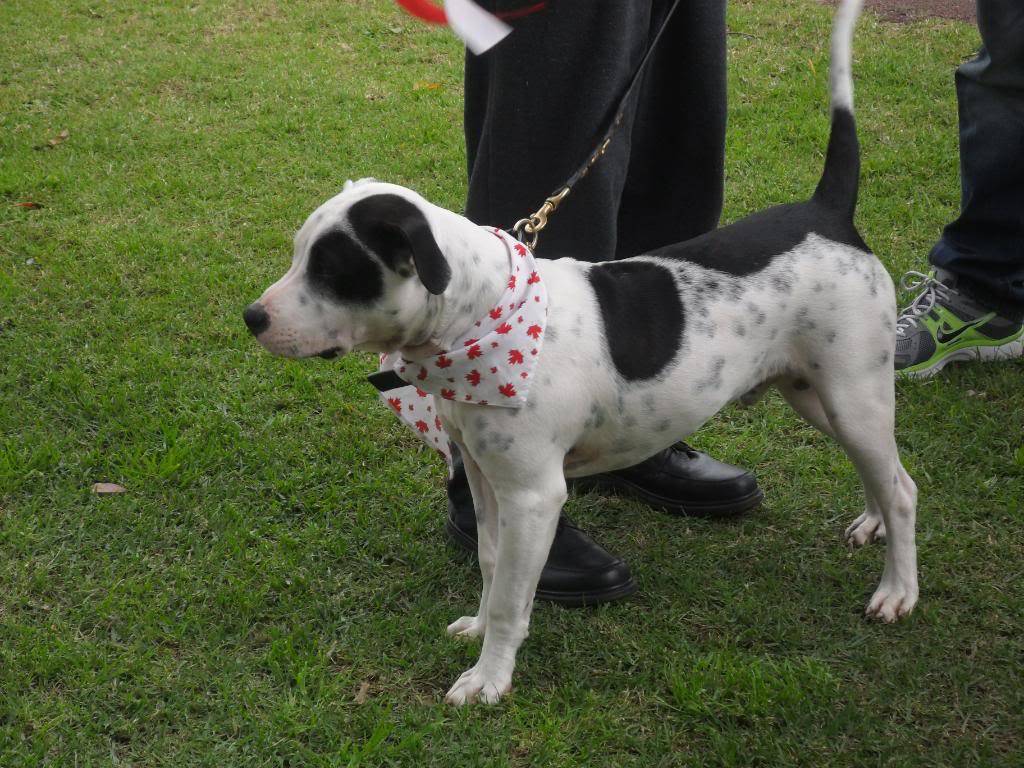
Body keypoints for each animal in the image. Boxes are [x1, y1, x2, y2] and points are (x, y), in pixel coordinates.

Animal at [245, 0, 921, 708]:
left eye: (333, 271)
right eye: (299, 255)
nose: (252, 318)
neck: (480, 319)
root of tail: (827, 212)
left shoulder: (534, 495)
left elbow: (513, 597)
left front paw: (490, 678)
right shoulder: (485, 478)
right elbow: (490, 564)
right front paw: (478, 629)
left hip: (852, 393)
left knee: (903, 486)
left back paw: (897, 591)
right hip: (819, 393)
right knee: (882, 469)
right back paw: (871, 523)